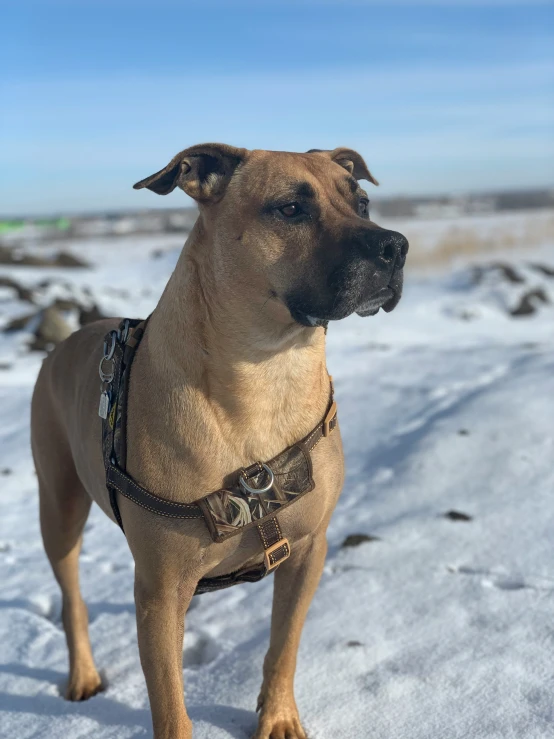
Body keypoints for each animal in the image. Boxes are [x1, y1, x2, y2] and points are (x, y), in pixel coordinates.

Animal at [31, 142, 406, 736]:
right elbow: (170, 706)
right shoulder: (160, 593)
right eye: (291, 208)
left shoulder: (309, 549)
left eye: (363, 203)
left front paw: (278, 717)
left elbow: (284, 644)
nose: (397, 246)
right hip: (59, 505)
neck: (265, 372)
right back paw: (83, 674)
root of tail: (64, 342)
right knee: (72, 597)